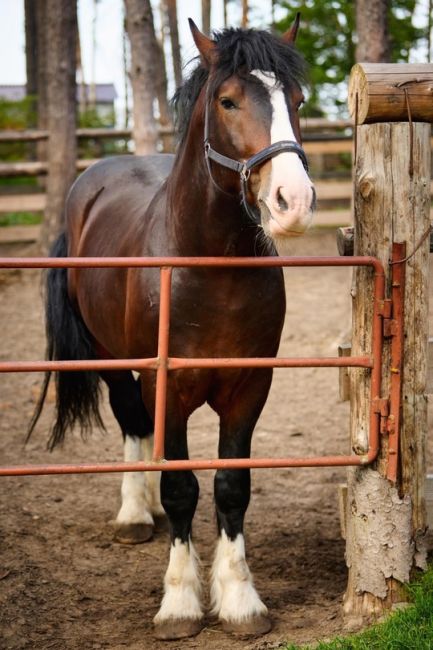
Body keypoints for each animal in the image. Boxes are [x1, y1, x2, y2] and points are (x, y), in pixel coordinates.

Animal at [29, 17, 314, 640]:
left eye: (298, 99)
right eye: (228, 100)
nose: (295, 200)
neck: (209, 268)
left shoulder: (249, 389)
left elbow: (231, 487)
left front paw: (239, 600)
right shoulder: (168, 386)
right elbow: (182, 488)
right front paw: (181, 602)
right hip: (112, 362)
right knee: (133, 422)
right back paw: (137, 513)